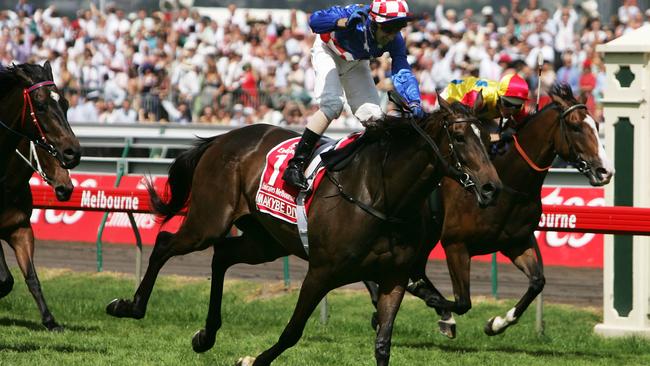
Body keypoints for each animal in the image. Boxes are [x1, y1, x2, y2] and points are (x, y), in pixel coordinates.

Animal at [0, 139, 73, 330]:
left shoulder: (21, 230)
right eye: (48, 149)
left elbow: (31, 278)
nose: (66, 189)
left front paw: (50, 321)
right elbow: (5, 279)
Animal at [106, 97, 502, 366]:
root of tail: (222, 138)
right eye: (460, 136)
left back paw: (206, 334)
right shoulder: (321, 272)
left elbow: (383, 344)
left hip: (265, 241)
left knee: (223, 255)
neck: (383, 195)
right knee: (165, 243)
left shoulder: (393, 278)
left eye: (490, 138)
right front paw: (252, 359)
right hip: (208, 221)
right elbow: (292, 331)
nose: (491, 188)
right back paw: (129, 306)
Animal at [364, 83, 612, 338]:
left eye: (597, 125)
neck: (511, 185)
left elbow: (537, 282)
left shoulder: (517, 242)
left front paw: (496, 323)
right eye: (575, 126)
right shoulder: (456, 245)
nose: (605, 171)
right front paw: (432, 301)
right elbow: (463, 301)